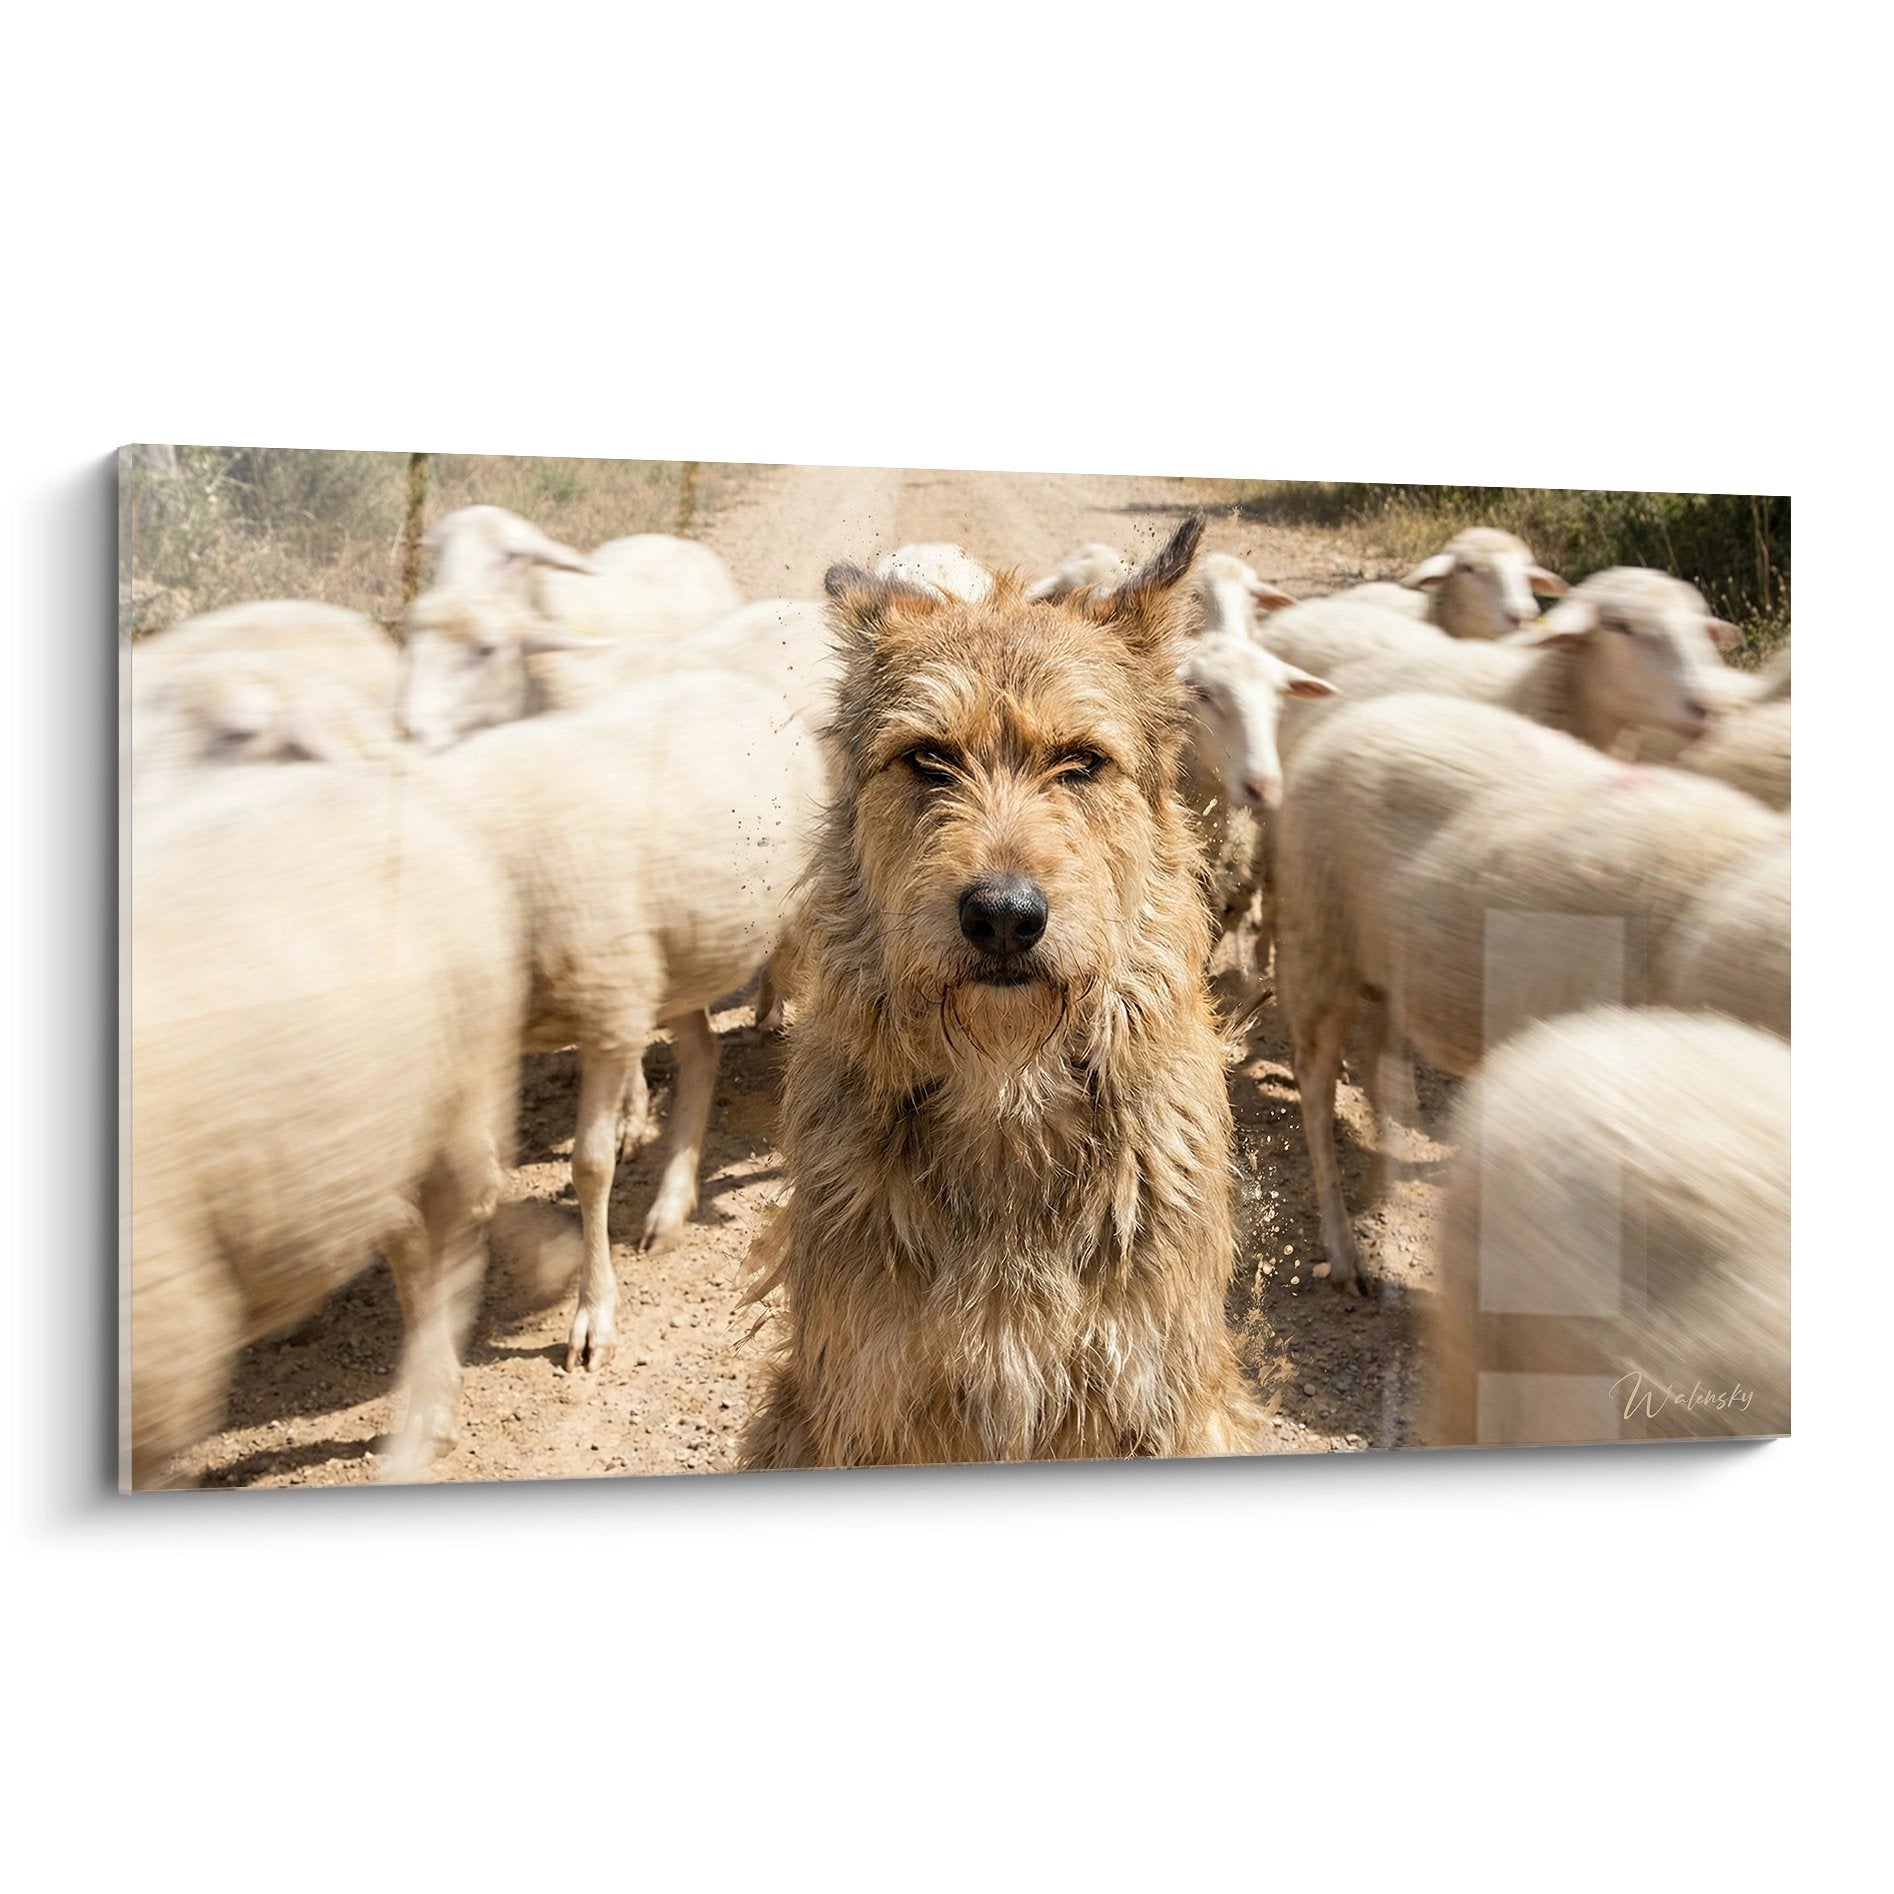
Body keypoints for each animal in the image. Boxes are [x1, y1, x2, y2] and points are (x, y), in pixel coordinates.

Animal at [426, 667, 829, 1372]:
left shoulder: (609, 1015)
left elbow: (589, 1168)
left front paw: (593, 1313)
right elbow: (482, 1178)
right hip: (677, 959)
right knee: (701, 1053)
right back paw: (670, 1208)